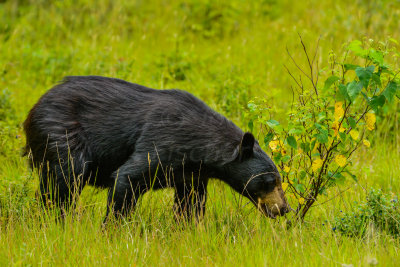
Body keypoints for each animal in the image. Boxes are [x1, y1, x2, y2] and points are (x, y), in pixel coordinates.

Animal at [24, 76, 288, 223]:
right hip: (61, 134)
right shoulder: (162, 141)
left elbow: (190, 202)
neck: (198, 148)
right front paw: (112, 229)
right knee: (64, 180)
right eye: (270, 181)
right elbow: (127, 178)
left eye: (278, 181)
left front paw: (187, 228)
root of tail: (34, 107)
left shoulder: (191, 174)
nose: (284, 209)